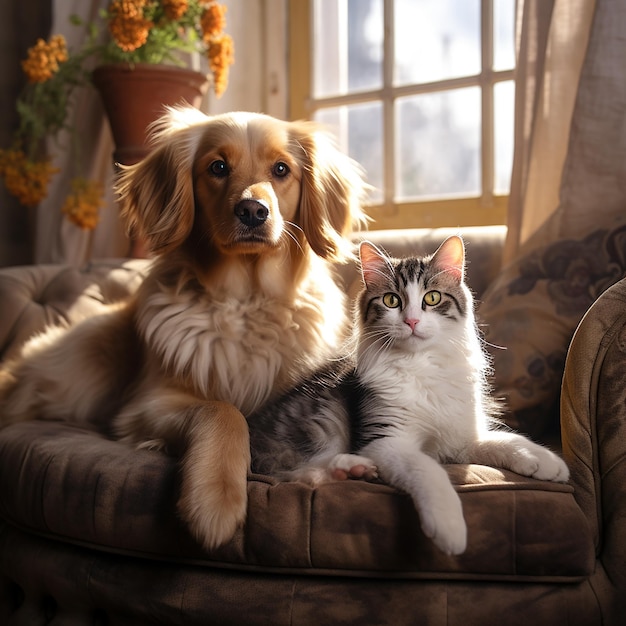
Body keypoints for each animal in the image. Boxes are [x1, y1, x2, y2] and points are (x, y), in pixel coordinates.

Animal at [246, 236, 568, 552]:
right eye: (392, 300)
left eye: (432, 298)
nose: (411, 321)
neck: (421, 365)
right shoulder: (386, 440)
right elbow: (429, 471)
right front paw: (449, 528)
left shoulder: (460, 440)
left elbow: (507, 441)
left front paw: (547, 462)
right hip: (315, 432)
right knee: (298, 473)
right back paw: (353, 469)